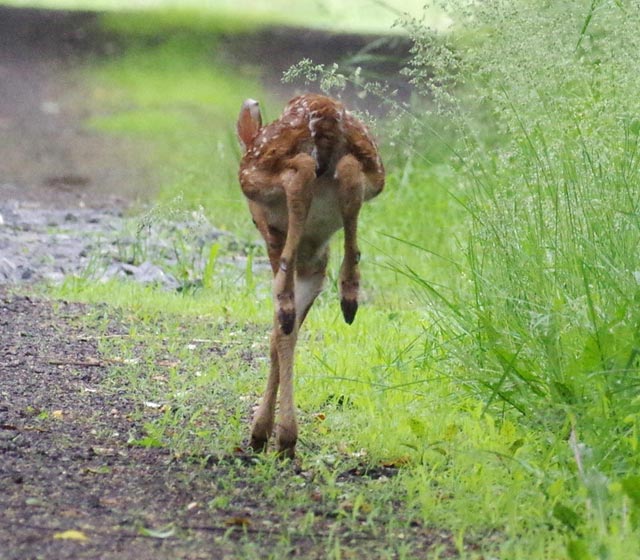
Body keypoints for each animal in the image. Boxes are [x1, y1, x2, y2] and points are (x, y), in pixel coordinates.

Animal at [236, 94, 385, 458]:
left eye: (253, 220)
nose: (258, 223)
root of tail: (325, 110)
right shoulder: (315, 271)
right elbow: (283, 337)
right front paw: (280, 435)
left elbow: (278, 334)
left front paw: (264, 434)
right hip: (375, 169)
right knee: (350, 173)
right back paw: (349, 293)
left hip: (256, 171)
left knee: (299, 173)